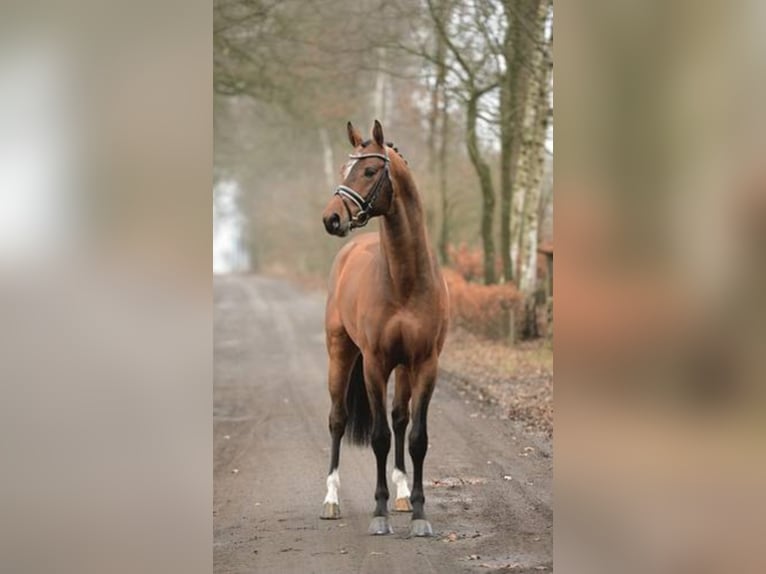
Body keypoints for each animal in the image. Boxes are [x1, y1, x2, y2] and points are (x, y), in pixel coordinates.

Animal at [320, 119, 450, 536]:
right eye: (343, 168)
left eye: (370, 171)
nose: (331, 218)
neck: (405, 281)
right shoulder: (375, 364)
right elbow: (378, 437)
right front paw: (378, 514)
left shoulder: (424, 364)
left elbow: (416, 437)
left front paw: (420, 514)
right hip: (341, 353)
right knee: (337, 420)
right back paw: (331, 500)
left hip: (404, 369)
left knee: (399, 418)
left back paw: (403, 495)